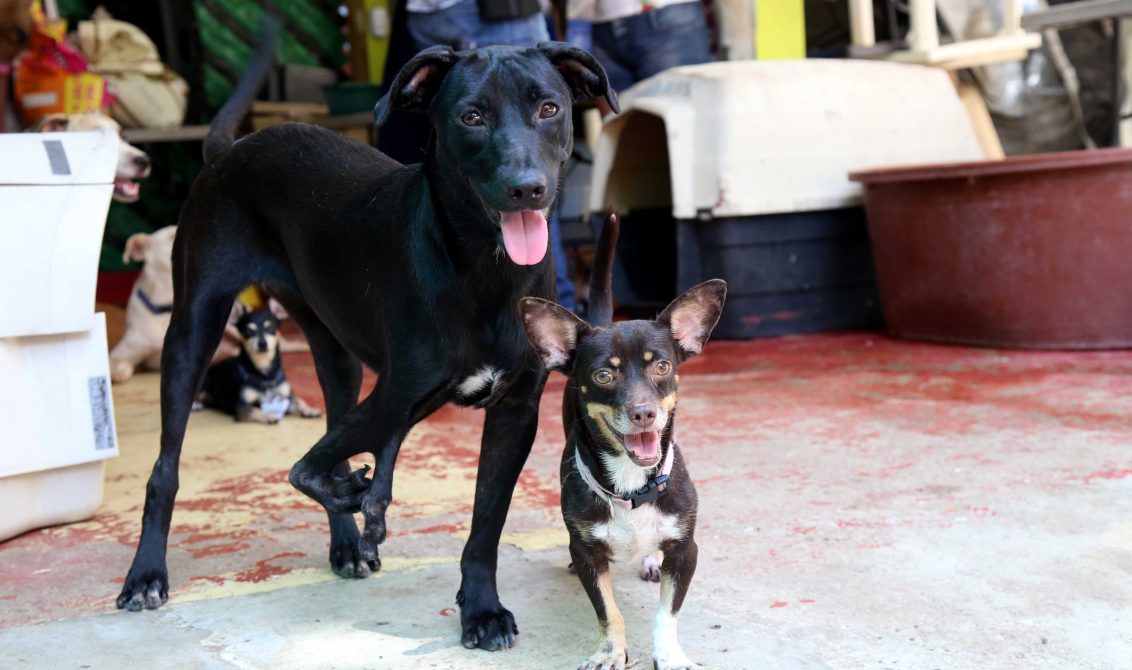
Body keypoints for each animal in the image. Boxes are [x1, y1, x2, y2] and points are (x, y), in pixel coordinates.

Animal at [195, 305, 323, 421]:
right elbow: (255, 409)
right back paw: (196, 405)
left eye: (270, 328)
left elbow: (299, 400)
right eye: (249, 331)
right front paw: (269, 415)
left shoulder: (286, 398)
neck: (265, 375)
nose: (262, 343)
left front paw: (310, 410)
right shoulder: (241, 407)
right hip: (203, 386)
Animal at [518, 216, 724, 670]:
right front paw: (609, 652)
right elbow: (607, 611)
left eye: (661, 366)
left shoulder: (685, 551)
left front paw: (669, 654)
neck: (632, 486)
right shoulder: (588, 555)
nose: (643, 412)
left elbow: (667, 613)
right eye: (603, 375)